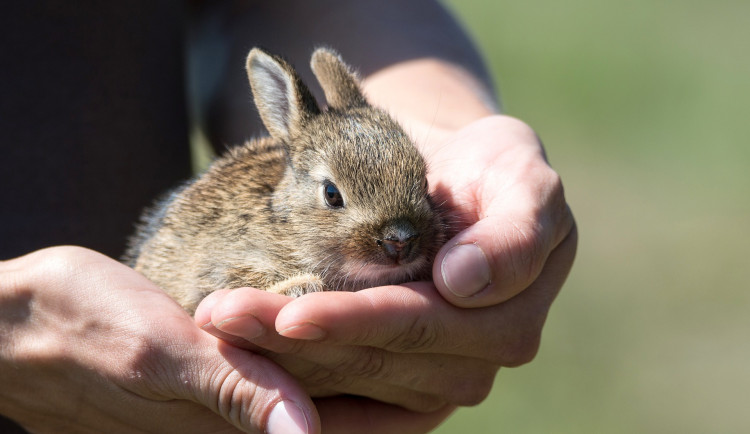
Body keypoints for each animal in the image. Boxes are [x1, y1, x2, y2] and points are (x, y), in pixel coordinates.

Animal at [125, 47, 446, 312]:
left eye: (424, 183)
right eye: (331, 194)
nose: (400, 240)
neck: (288, 226)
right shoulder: (217, 270)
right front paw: (301, 286)